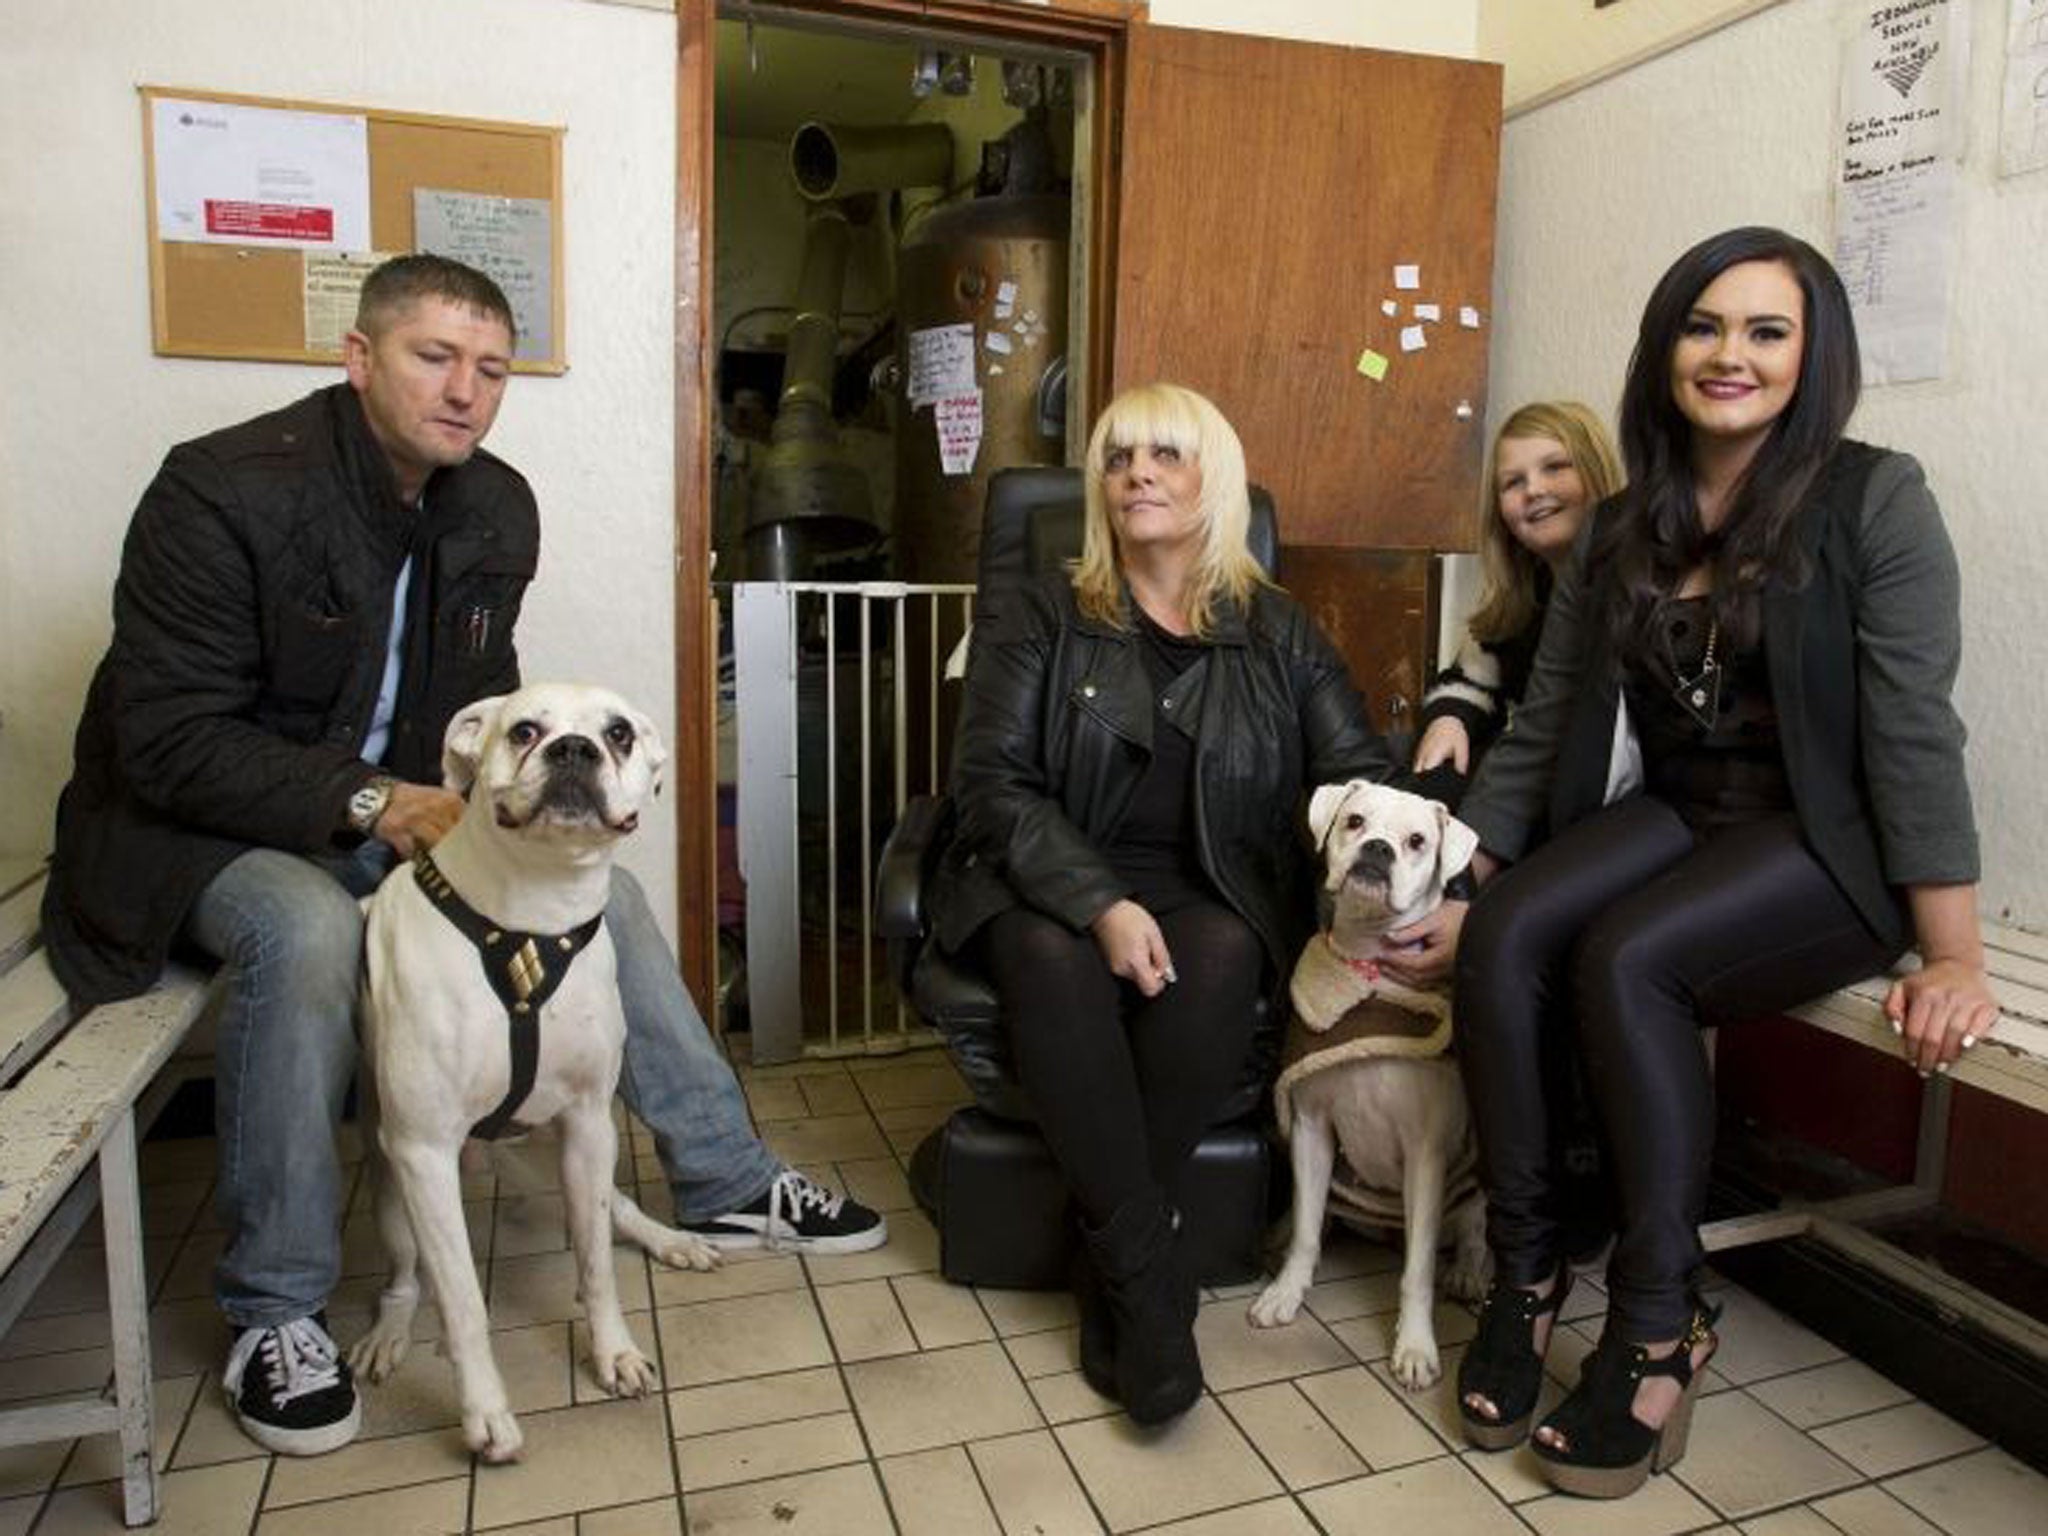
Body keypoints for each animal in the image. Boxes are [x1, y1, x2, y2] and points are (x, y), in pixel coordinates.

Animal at [358, 688, 720, 1466]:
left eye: (619, 732)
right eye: (524, 729)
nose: (575, 748)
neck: (533, 915)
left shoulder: (586, 1122)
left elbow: (596, 1265)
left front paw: (613, 1352)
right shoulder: (423, 1151)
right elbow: (462, 1301)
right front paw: (485, 1413)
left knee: (615, 1209)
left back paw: (668, 1238)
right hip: (392, 1182)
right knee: (405, 1278)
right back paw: (387, 1333)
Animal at [1245, 782, 1490, 1392]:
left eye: (1418, 840)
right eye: (1355, 821)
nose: (1378, 849)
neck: (1372, 972)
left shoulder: (1426, 1154)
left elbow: (1417, 1270)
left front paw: (1415, 1346)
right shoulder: (1311, 1128)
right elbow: (1308, 1231)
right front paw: (1286, 1292)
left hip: (1473, 1178)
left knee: (1473, 1228)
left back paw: (1469, 1273)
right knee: (1315, 1216)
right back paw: (1278, 1232)